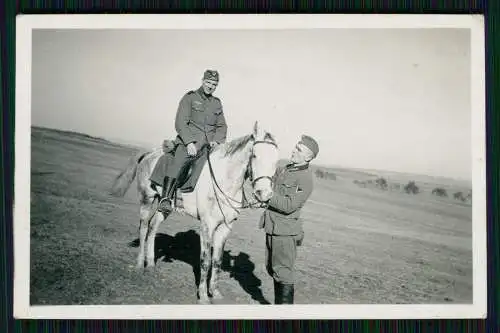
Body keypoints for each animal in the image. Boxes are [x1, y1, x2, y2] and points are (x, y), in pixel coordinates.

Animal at [109, 121, 280, 304]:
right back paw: (140, 263)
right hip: (147, 199)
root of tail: (150, 154)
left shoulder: (225, 227)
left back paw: (151, 264)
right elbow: (205, 260)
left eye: (276, 161)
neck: (224, 180)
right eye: (255, 156)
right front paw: (203, 296)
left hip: (165, 207)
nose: (265, 194)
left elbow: (217, 260)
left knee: (153, 227)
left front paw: (215, 292)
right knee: (143, 228)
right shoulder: (207, 225)